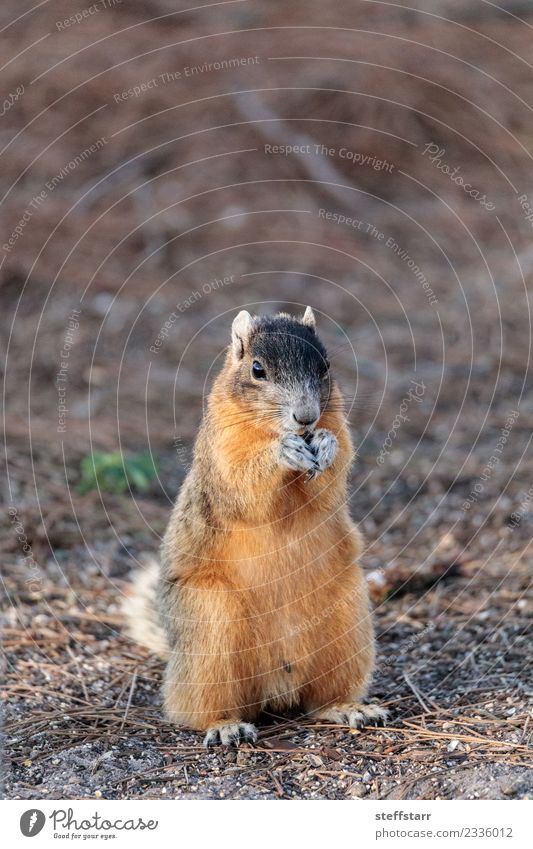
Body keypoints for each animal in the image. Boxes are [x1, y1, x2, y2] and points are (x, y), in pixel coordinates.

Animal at [122, 306, 384, 744]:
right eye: (258, 369)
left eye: (326, 366)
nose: (306, 417)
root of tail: (277, 686)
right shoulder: (224, 449)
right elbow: (245, 485)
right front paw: (281, 451)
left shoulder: (337, 427)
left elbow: (331, 480)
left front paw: (326, 445)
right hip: (211, 629)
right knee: (197, 705)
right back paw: (225, 727)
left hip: (347, 625)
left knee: (321, 699)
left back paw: (349, 709)